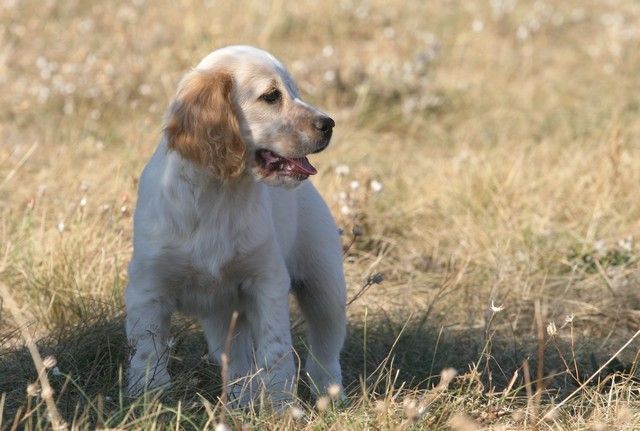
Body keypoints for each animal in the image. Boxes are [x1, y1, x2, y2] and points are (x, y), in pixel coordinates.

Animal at [124, 45, 344, 406]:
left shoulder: (266, 282)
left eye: (295, 92)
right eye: (271, 96)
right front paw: (147, 400)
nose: (329, 124)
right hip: (223, 315)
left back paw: (330, 395)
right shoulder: (148, 289)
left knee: (326, 349)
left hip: (325, 288)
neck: (220, 194)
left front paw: (282, 407)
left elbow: (275, 351)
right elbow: (147, 351)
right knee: (239, 362)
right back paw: (242, 402)